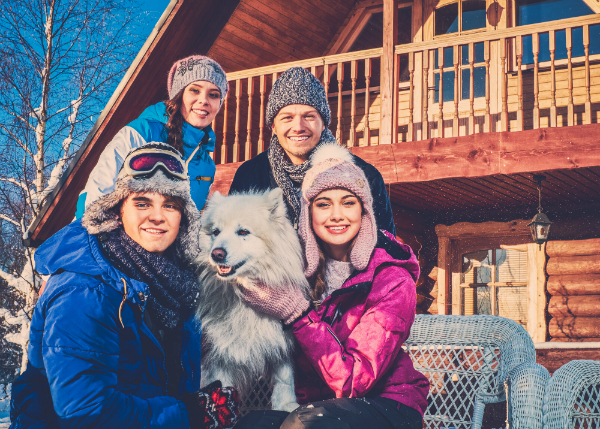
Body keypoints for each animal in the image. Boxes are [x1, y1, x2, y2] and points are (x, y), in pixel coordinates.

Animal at [197, 187, 310, 412]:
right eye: (215, 232)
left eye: (243, 232)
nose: (216, 254)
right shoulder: (220, 353)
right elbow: (220, 386)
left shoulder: (281, 339)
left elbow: (285, 378)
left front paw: (286, 405)